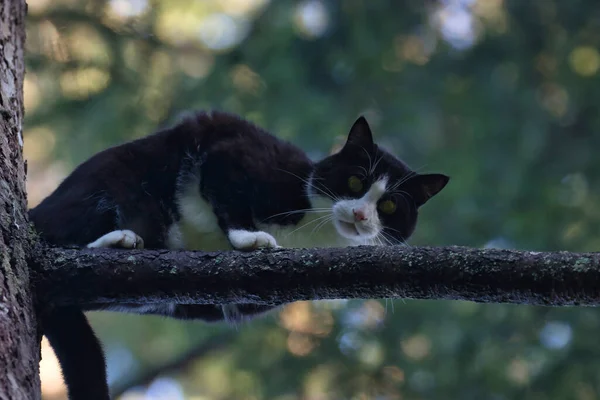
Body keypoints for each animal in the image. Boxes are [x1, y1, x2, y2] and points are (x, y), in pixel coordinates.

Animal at [30, 110, 448, 400]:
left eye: (390, 206)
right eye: (355, 181)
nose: (361, 214)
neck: (316, 228)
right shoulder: (235, 152)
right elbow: (229, 195)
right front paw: (249, 238)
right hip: (111, 185)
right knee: (63, 238)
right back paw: (118, 240)